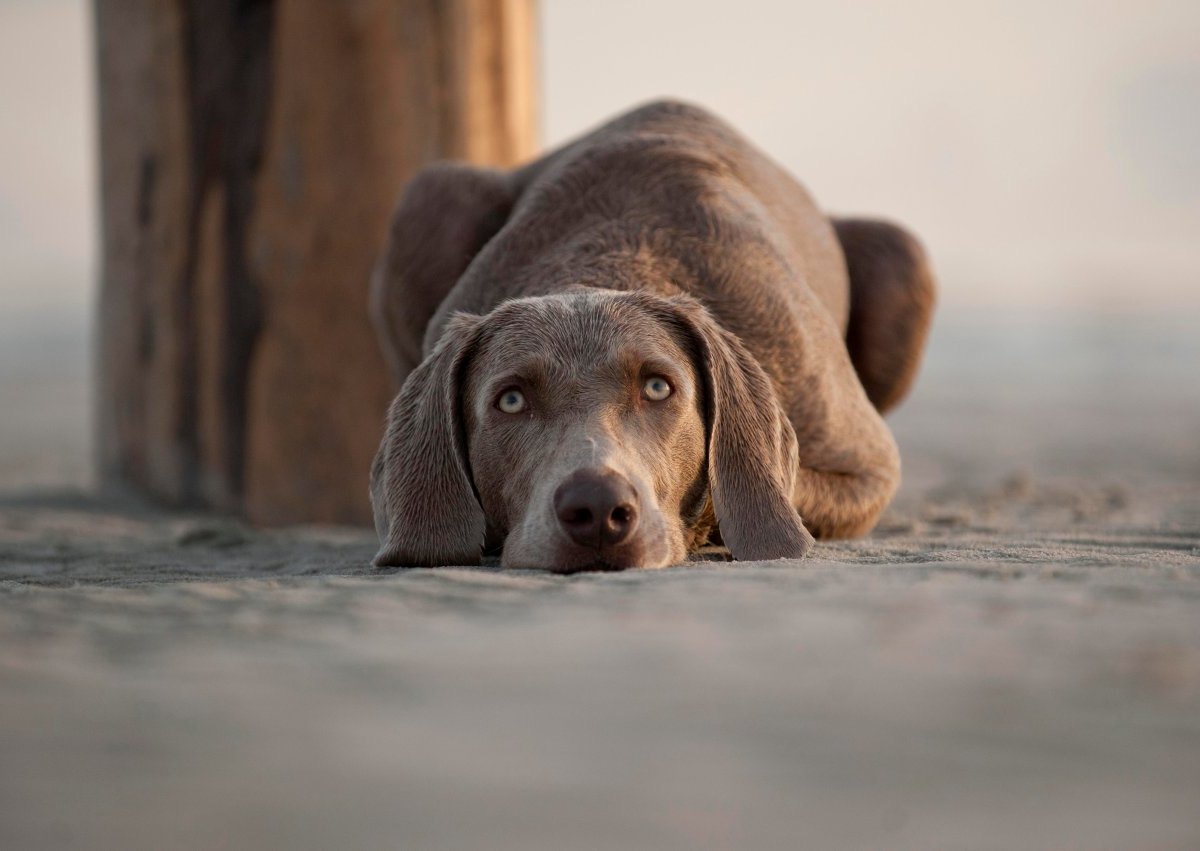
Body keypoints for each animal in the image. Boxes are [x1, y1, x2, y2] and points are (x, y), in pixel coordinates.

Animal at [369, 99, 931, 571]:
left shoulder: (867, 466)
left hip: (903, 254)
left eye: (659, 387)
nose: (596, 507)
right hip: (433, 196)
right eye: (510, 400)